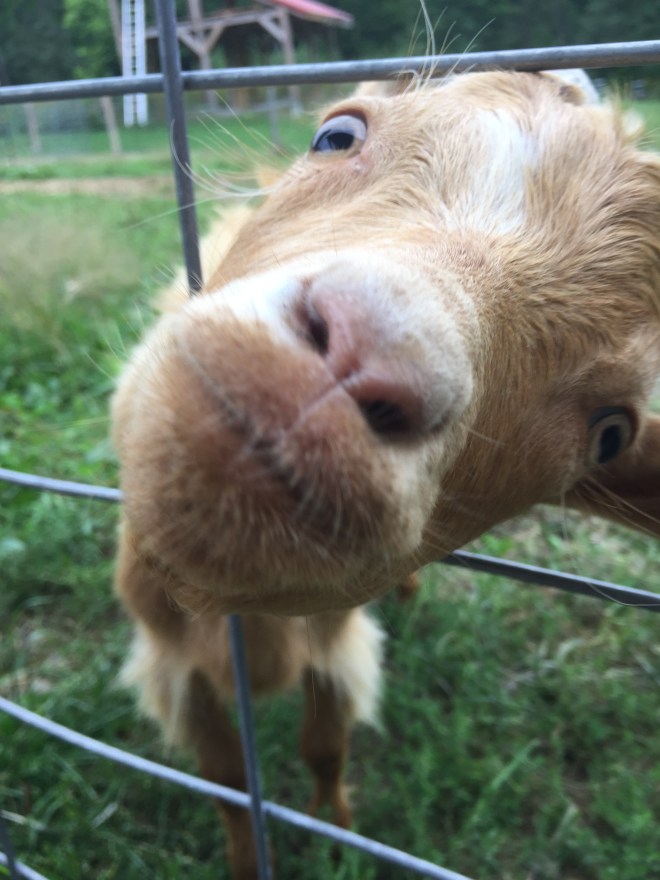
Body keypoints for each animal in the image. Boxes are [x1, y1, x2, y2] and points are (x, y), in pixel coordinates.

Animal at [112, 71, 660, 879]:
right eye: (337, 134)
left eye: (610, 432)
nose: (372, 351)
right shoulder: (176, 662)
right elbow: (227, 780)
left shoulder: (335, 643)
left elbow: (324, 745)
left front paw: (336, 832)